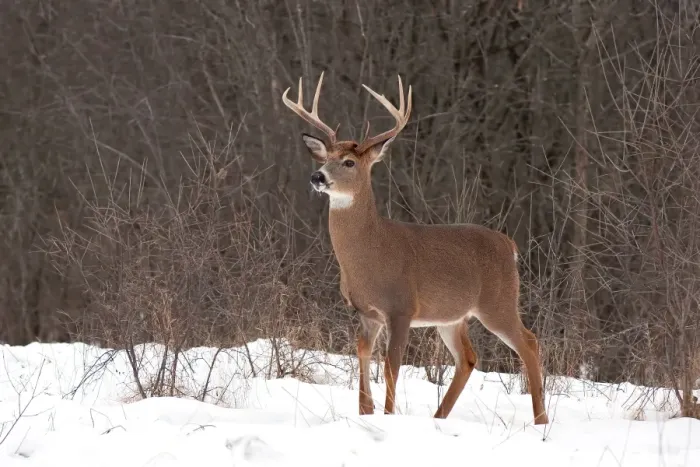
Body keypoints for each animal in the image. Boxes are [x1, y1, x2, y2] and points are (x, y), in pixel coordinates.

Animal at [281, 72, 549, 425]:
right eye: (325, 158)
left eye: (349, 162)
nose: (317, 176)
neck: (371, 253)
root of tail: (509, 245)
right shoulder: (366, 312)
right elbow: (363, 356)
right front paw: (365, 414)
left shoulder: (401, 307)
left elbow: (391, 366)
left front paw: (388, 416)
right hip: (451, 316)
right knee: (468, 358)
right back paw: (439, 417)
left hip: (498, 302)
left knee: (528, 342)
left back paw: (541, 420)